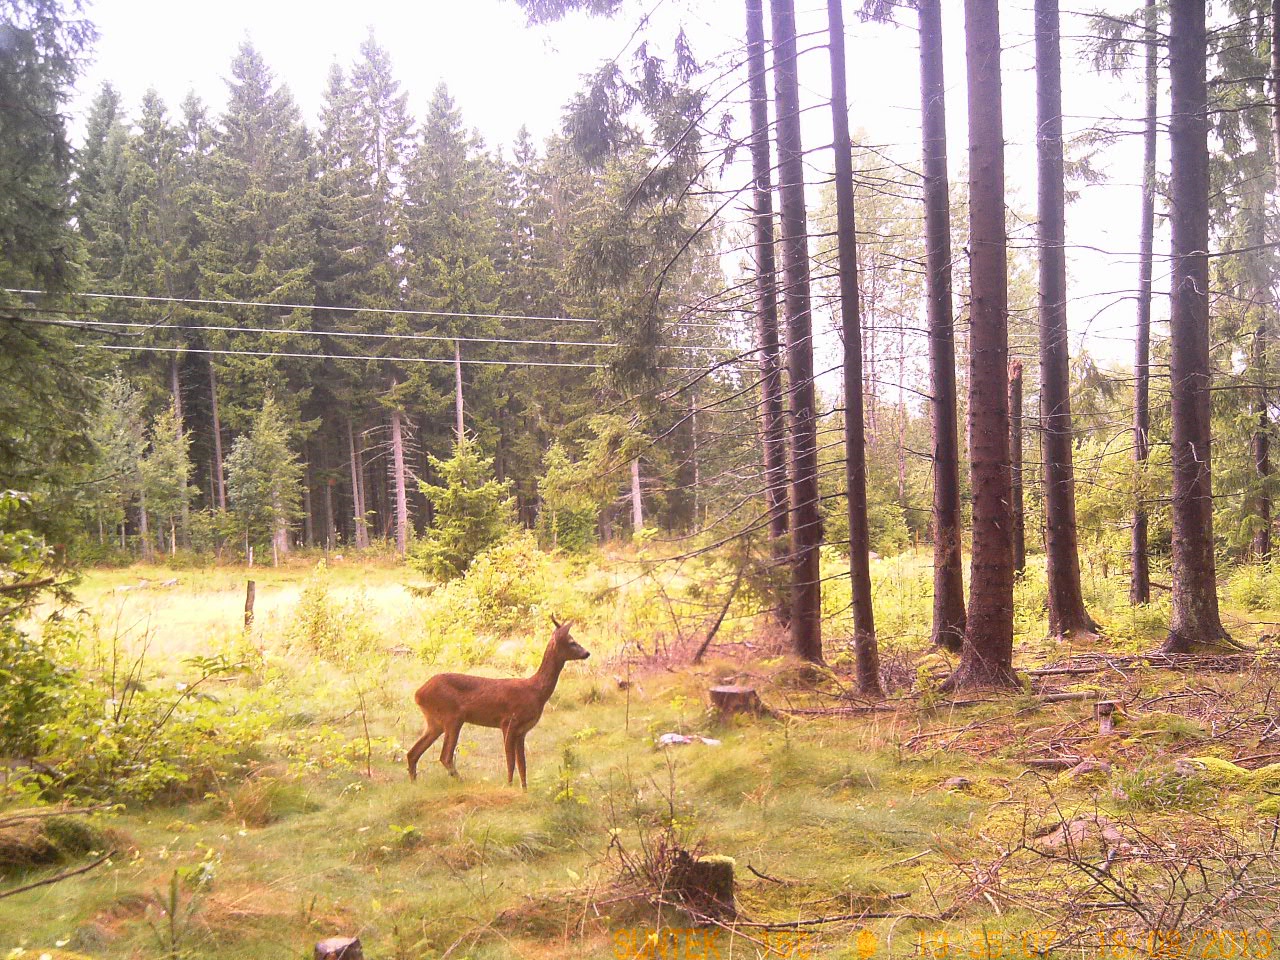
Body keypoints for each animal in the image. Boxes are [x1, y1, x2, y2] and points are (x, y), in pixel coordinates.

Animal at [406, 618, 590, 790]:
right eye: (572, 641)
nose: (587, 653)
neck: (536, 692)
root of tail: (418, 693)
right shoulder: (508, 722)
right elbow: (511, 762)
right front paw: (509, 786)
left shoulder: (522, 731)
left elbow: (522, 765)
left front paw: (524, 790)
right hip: (453, 717)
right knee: (445, 756)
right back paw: (462, 781)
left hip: (435, 722)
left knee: (412, 752)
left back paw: (414, 783)